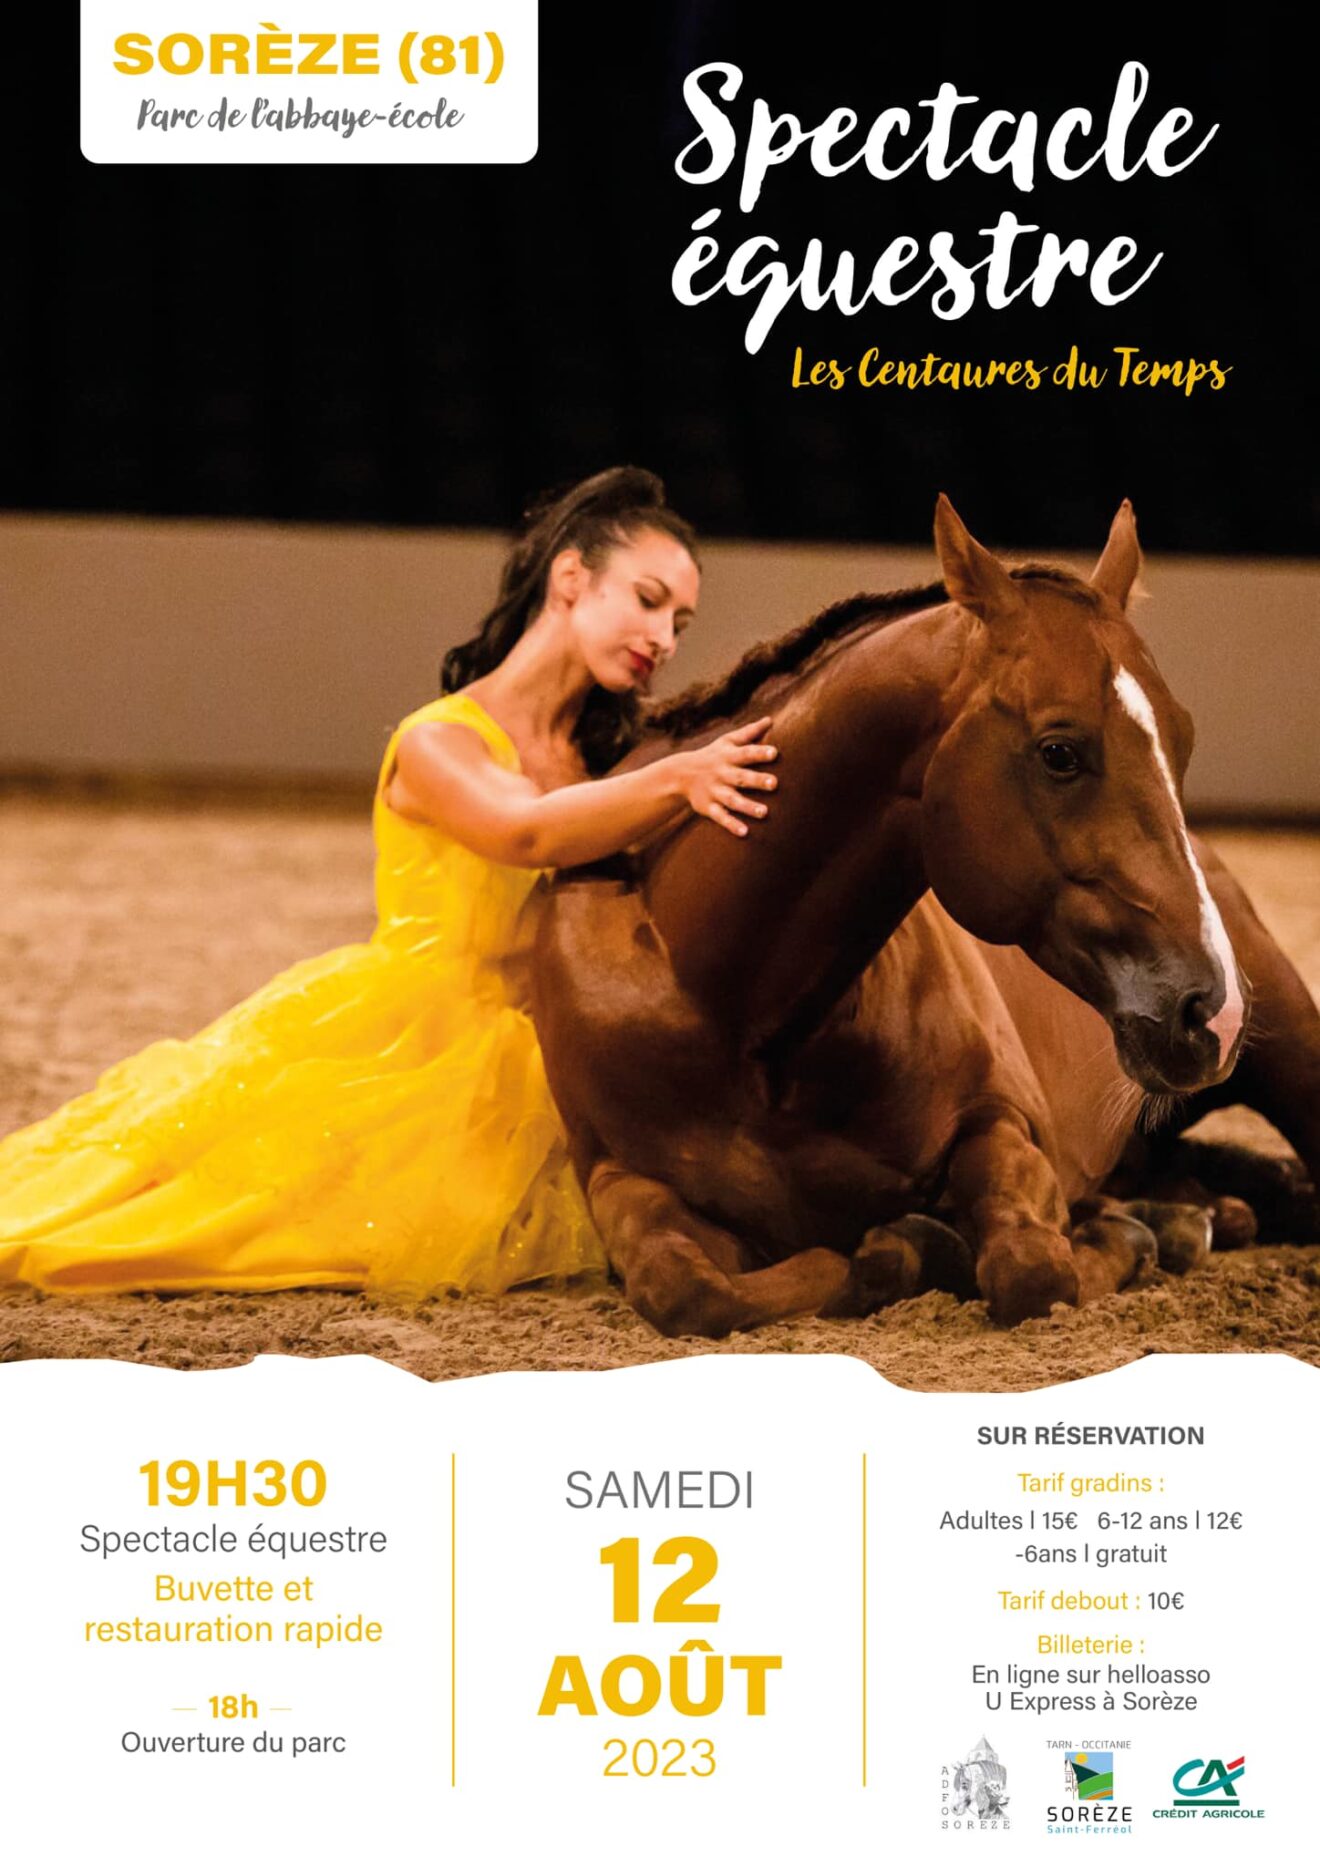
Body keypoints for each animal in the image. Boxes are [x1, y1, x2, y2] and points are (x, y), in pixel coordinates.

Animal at [530, 497, 1320, 1334]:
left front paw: (1098, 1239)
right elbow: (691, 1287)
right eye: (1060, 752)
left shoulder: (1003, 1121)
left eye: (1183, 740)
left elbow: (1029, 1267)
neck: (727, 1002)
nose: (1214, 1009)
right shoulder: (623, 1181)